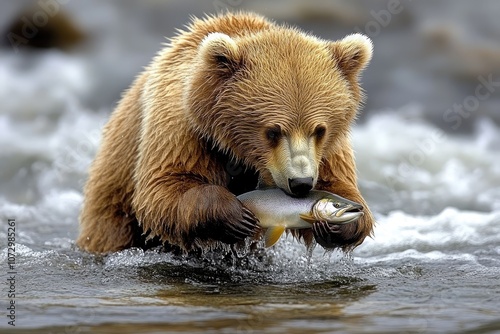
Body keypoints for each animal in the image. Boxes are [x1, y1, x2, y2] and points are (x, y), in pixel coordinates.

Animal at [77, 12, 376, 253]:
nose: (300, 183)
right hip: (113, 198)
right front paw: (232, 213)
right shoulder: (182, 126)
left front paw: (341, 222)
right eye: (272, 131)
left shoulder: (331, 149)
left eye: (319, 130)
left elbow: (340, 183)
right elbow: (164, 188)